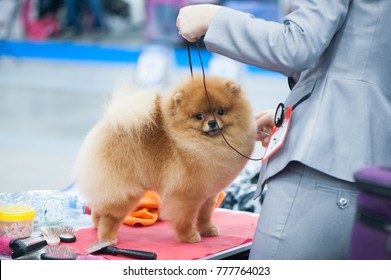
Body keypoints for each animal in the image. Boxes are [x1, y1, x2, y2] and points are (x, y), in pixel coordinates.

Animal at [74, 76, 256, 243]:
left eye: (220, 112)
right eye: (199, 116)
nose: (212, 122)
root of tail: (108, 123)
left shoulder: (208, 194)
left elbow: (205, 215)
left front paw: (208, 230)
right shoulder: (186, 196)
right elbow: (186, 219)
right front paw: (189, 236)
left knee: (99, 208)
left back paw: (97, 226)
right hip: (124, 189)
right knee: (110, 215)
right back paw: (107, 238)